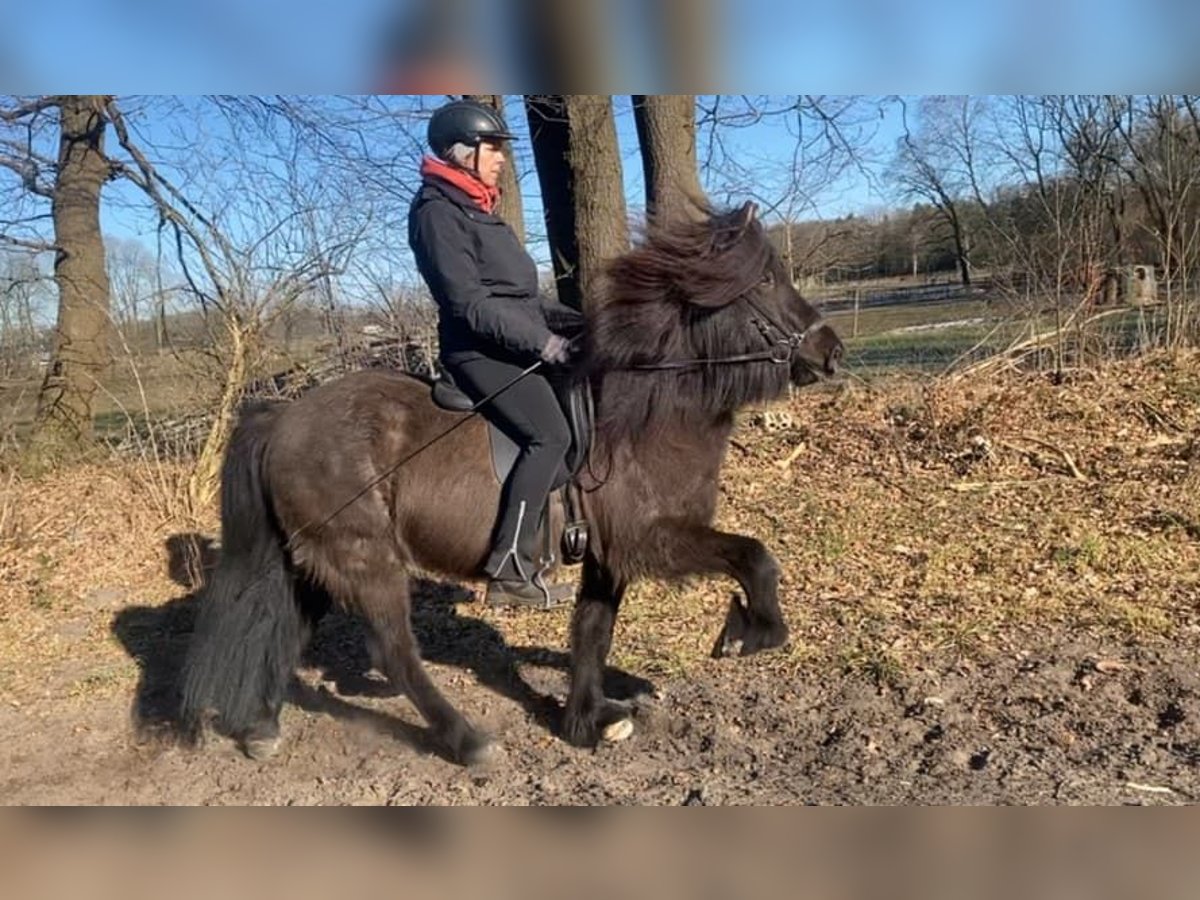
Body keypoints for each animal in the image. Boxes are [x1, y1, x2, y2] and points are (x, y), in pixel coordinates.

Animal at [180, 204, 844, 768]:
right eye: (765, 280)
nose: (831, 352)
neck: (643, 413)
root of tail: (283, 417)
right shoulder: (652, 538)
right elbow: (754, 556)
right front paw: (749, 632)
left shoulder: (607, 554)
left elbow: (592, 632)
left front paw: (587, 721)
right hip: (364, 559)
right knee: (392, 652)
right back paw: (466, 741)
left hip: (316, 560)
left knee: (287, 631)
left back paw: (262, 727)